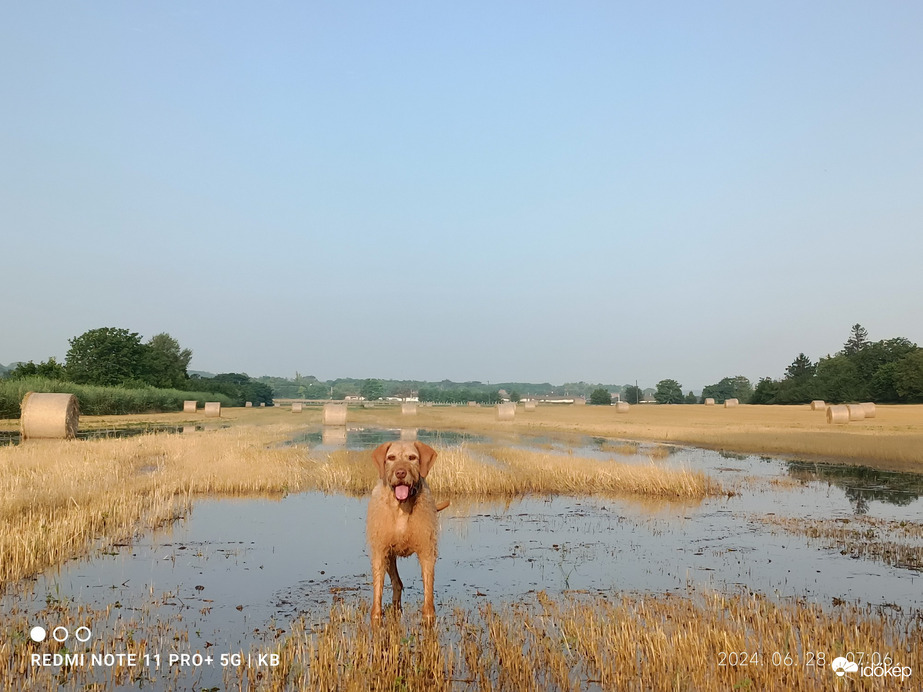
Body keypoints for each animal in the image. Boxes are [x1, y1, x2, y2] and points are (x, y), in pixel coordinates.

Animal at [364, 444, 448, 620]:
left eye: (412, 457)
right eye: (391, 457)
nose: (400, 473)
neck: (401, 505)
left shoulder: (427, 550)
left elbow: (428, 585)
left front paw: (428, 614)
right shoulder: (381, 550)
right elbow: (378, 587)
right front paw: (376, 615)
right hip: (389, 556)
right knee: (397, 582)